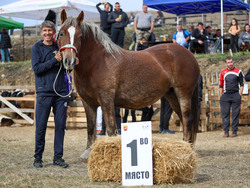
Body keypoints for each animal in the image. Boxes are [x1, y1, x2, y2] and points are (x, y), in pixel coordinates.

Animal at [57, 9, 200, 160]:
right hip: (172, 95)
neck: (97, 62)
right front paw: (88, 151)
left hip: (183, 93)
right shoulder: (88, 103)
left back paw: (186, 147)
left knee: (187, 118)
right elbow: (90, 127)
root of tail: (189, 54)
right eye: (61, 33)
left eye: (80, 37)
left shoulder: (106, 101)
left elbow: (111, 128)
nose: (69, 61)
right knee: (183, 118)